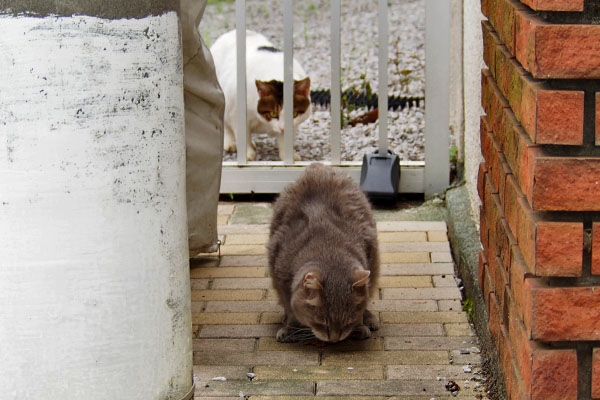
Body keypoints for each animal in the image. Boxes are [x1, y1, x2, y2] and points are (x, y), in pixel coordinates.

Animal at [211, 29, 312, 161]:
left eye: (294, 113)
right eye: (273, 113)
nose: (283, 128)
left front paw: (288, 157)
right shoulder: (236, 113)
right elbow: (242, 134)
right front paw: (247, 154)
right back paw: (231, 143)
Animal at [268, 161, 380, 342]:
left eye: (347, 322)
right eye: (321, 322)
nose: (334, 339)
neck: (329, 250)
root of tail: (318, 165)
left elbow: (363, 304)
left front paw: (359, 325)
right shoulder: (281, 282)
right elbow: (291, 310)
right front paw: (290, 329)